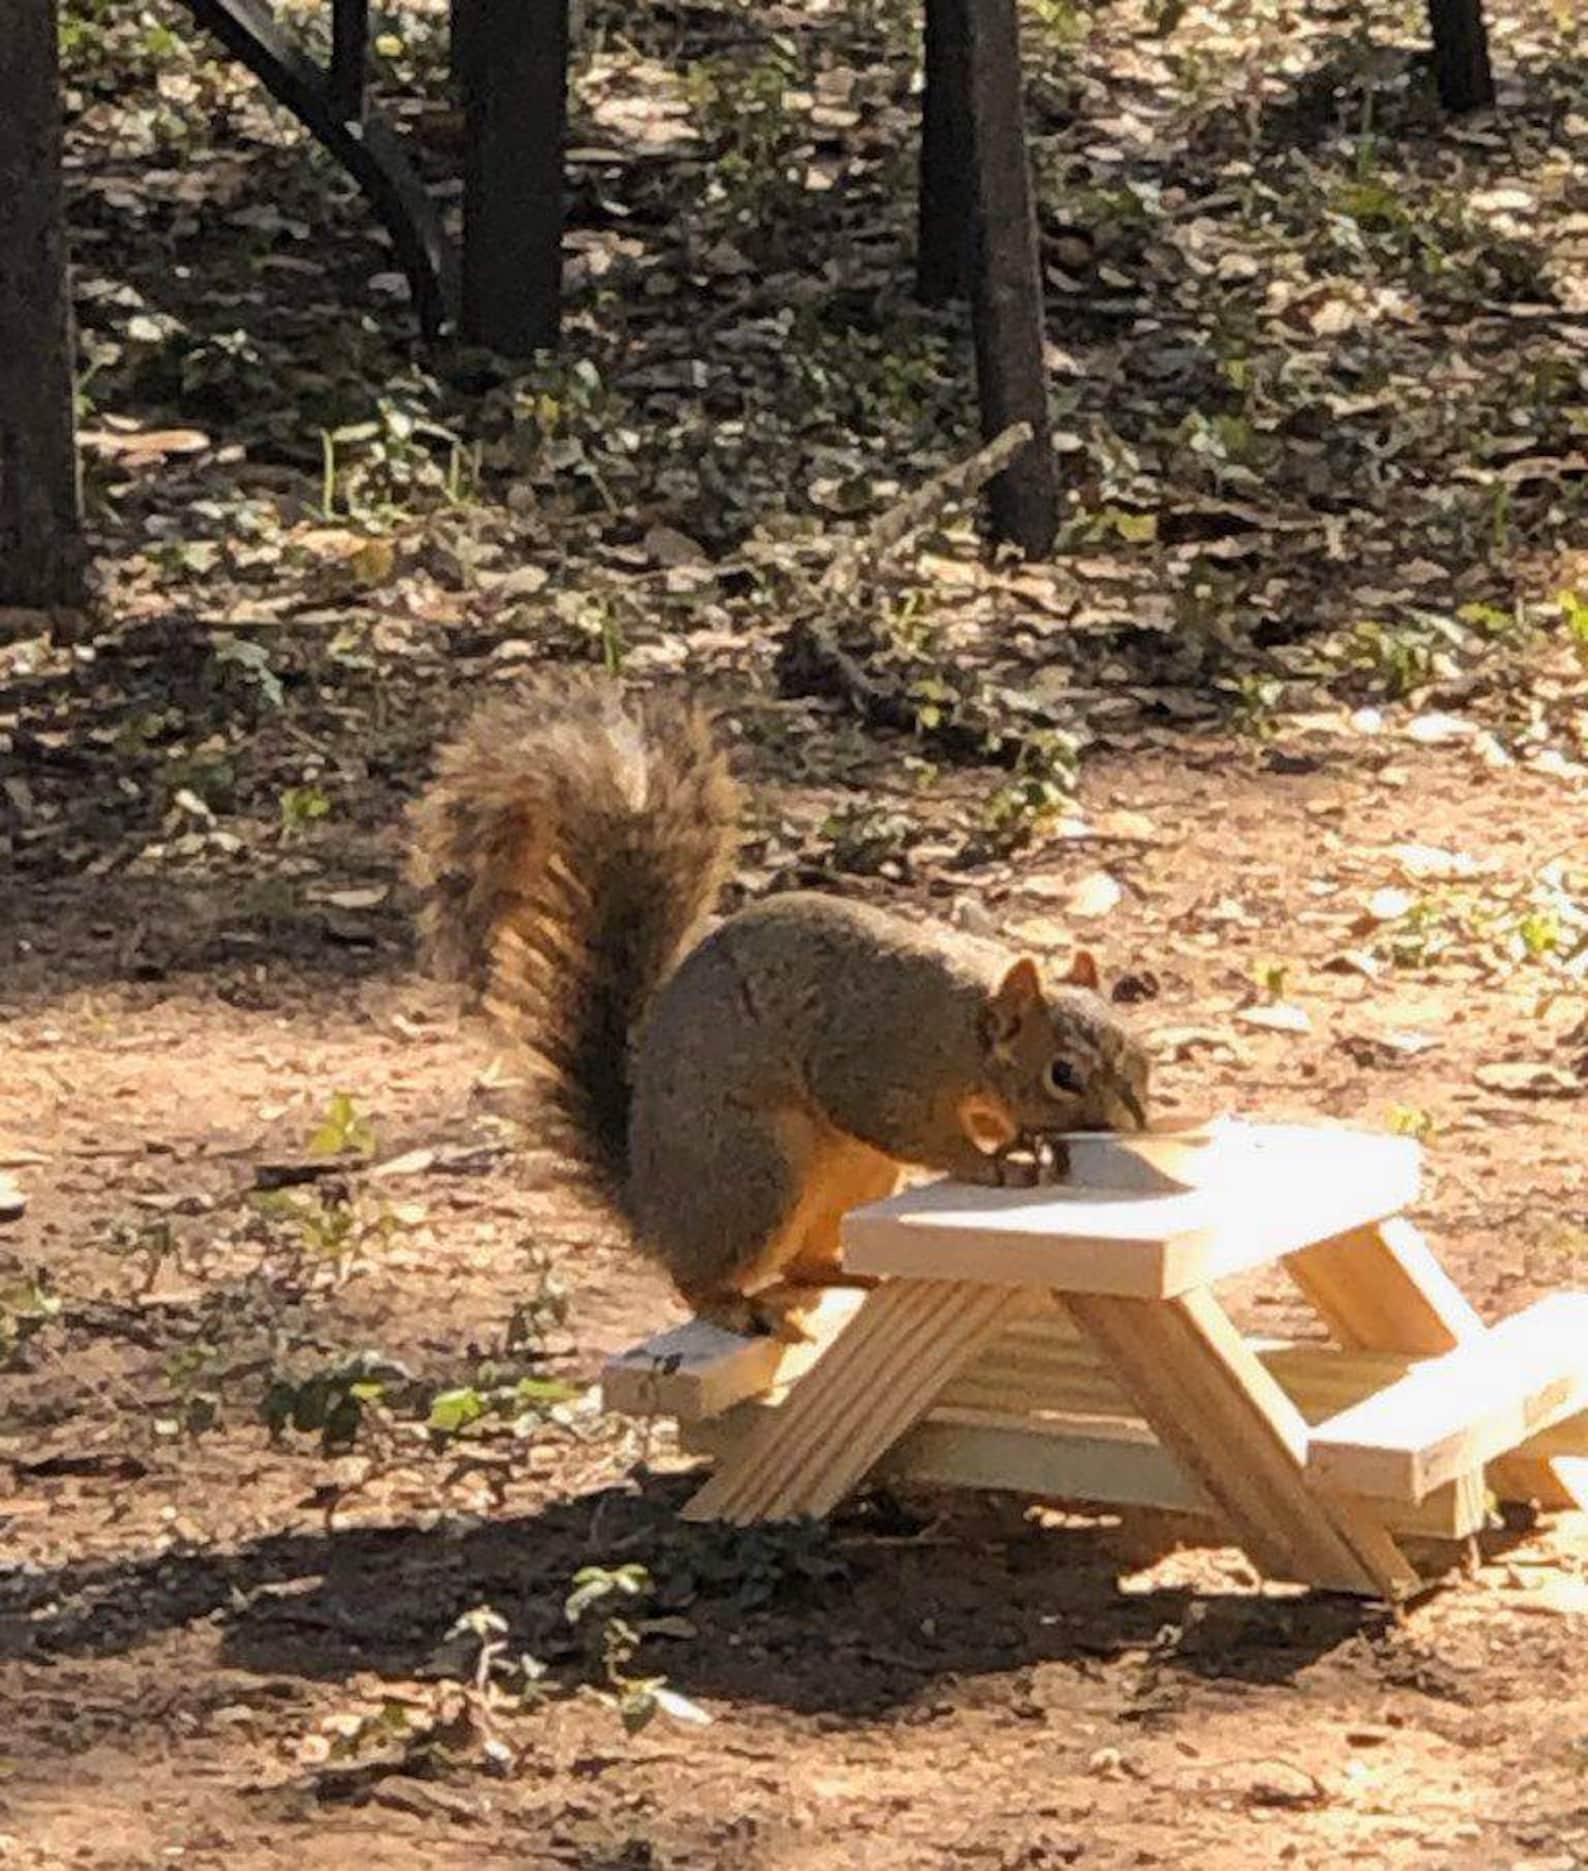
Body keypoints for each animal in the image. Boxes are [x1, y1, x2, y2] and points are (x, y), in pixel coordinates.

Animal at [410, 677, 1151, 1337]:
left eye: (1141, 1056)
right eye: (1063, 1073)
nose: (1131, 1127)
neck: (966, 1028)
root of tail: (651, 1211)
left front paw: (1016, 1139)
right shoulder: (876, 1056)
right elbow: (901, 1122)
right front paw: (987, 1162)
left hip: (854, 1174)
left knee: (804, 1263)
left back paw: (850, 1271)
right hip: (757, 1170)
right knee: (702, 1276)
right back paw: (734, 1306)